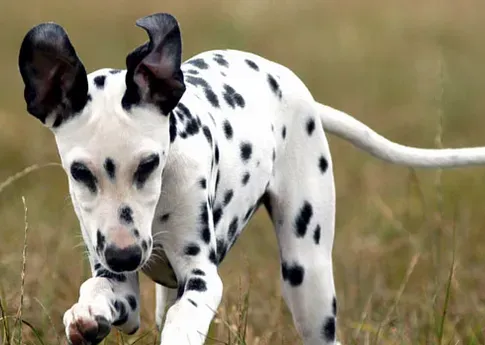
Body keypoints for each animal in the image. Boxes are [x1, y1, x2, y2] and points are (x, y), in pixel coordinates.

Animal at [17, 11, 484, 344]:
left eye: (149, 164)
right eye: (80, 173)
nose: (125, 255)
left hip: (308, 276)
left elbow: (187, 316)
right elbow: (97, 290)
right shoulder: (123, 292)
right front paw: (85, 315)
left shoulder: (202, 277)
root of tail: (300, 91)